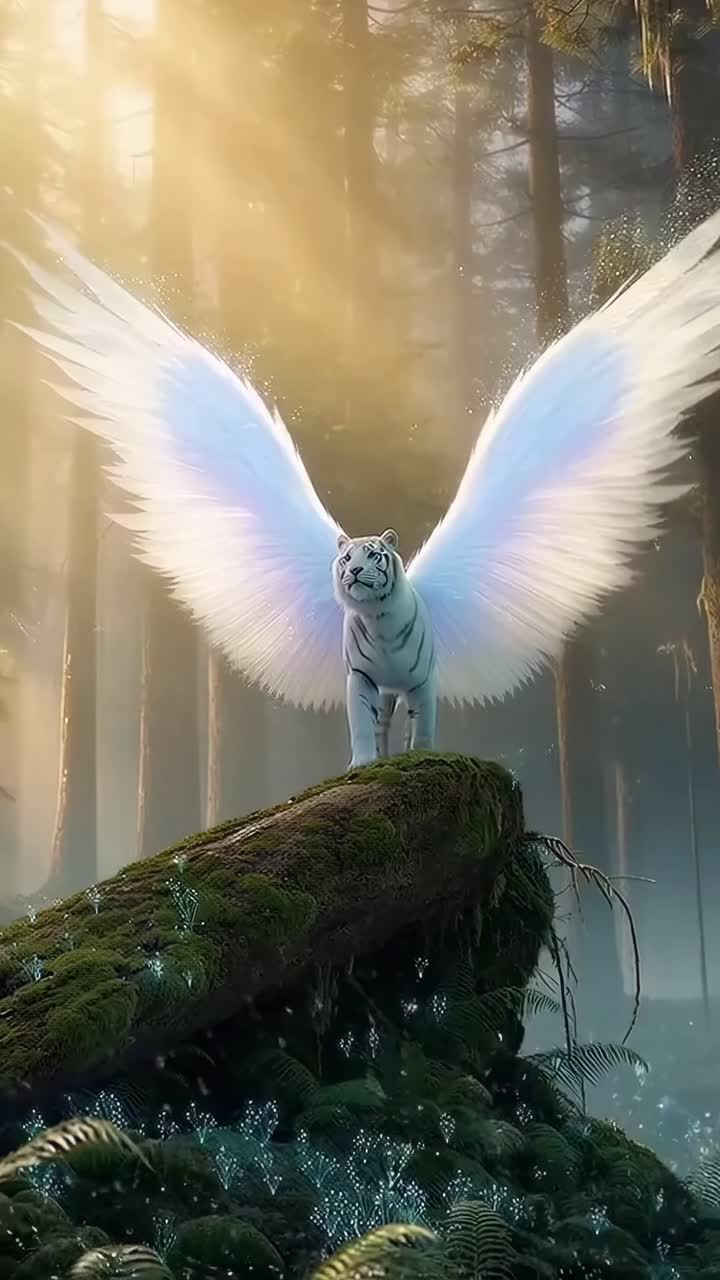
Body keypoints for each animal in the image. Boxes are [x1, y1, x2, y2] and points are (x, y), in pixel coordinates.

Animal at [332, 529, 436, 768]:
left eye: (372, 555)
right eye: (347, 558)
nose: (355, 570)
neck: (376, 615)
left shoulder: (422, 680)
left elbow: (423, 724)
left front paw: (422, 754)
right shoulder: (361, 675)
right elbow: (362, 723)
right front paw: (362, 762)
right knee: (380, 725)